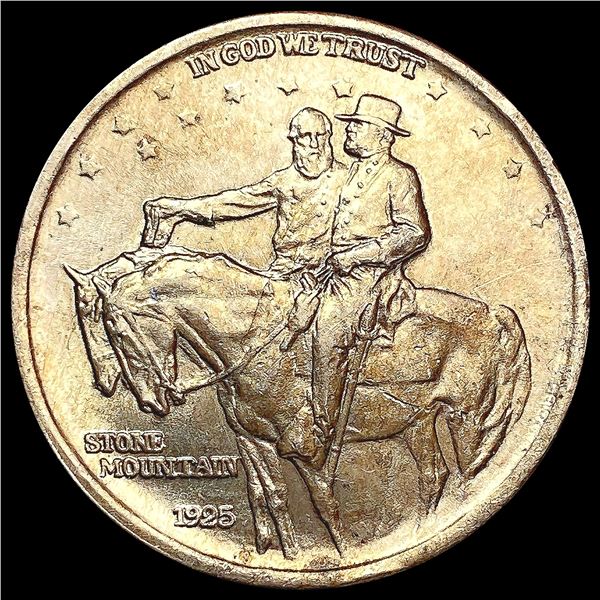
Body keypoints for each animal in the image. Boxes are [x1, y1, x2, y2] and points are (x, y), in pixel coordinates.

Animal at [65, 248, 531, 558]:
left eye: (113, 329)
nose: (147, 401)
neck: (254, 340)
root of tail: (497, 314)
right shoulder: (250, 440)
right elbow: (268, 493)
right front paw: (280, 552)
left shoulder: (306, 452)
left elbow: (325, 508)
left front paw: (339, 556)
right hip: (416, 424)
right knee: (435, 477)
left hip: (469, 427)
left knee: (467, 477)